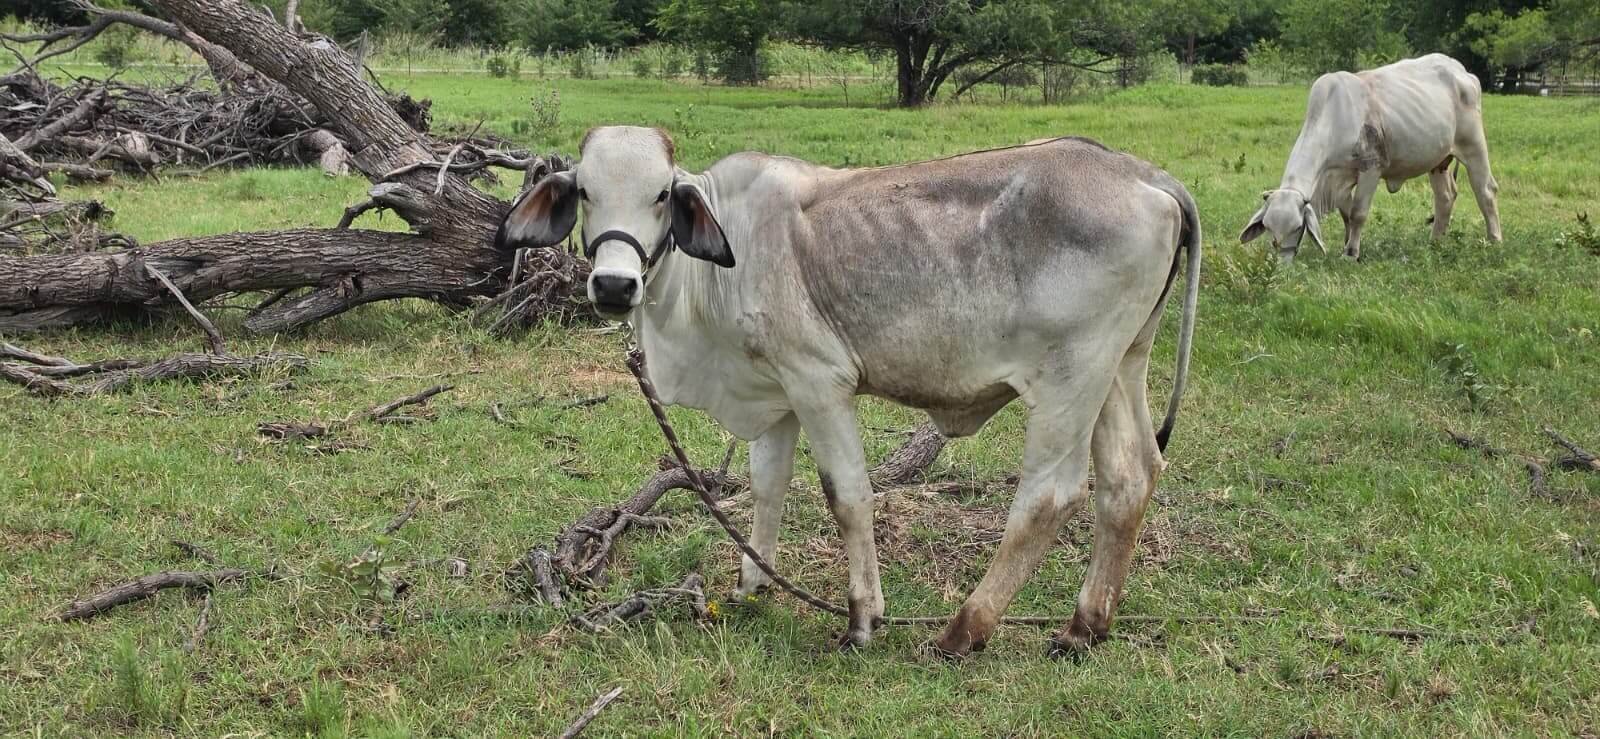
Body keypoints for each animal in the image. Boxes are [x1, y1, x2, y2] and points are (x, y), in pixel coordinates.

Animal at [498, 126, 1201, 659]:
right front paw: (752, 585)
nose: (615, 286)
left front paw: (862, 619)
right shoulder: (775, 392)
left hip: (1068, 379)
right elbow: (768, 487)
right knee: (1130, 476)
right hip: (1119, 366)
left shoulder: (819, 381)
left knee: (1049, 496)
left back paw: (963, 631)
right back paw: (1085, 627)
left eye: (663, 193)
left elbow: (849, 496)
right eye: (585, 192)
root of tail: (1146, 175)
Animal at [1241, 53, 1502, 262]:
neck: (1333, 117)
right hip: (1438, 161)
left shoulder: (1371, 169)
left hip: (1474, 146)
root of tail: (1460, 70)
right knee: (1445, 197)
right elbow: (1346, 215)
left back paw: (1494, 241)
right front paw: (1347, 244)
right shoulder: (1340, 179)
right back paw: (1435, 243)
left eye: (1297, 227)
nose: (1282, 264)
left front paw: (1351, 254)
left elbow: (1358, 213)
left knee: (1485, 191)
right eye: (1268, 228)